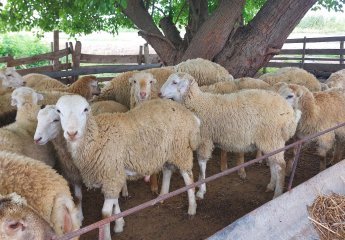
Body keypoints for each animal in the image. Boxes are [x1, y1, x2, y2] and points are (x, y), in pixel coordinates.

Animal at [55, 95, 200, 240]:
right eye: (59, 111)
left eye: (85, 109)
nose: (72, 133)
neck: (97, 137)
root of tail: (190, 115)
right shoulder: (114, 175)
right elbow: (115, 203)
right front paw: (120, 223)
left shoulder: (111, 176)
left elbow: (105, 214)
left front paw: (108, 234)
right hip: (167, 151)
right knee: (167, 170)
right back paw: (162, 196)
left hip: (181, 149)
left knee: (189, 178)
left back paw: (192, 208)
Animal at [159, 72, 296, 199]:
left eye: (175, 82)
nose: (159, 94)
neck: (199, 103)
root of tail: (288, 110)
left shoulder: (205, 139)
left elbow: (202, 165)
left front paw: (201, 191)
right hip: (270, 141)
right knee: (273, 163)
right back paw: (271, 185)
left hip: (272, 138)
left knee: (281, 166)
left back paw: (277, 193)